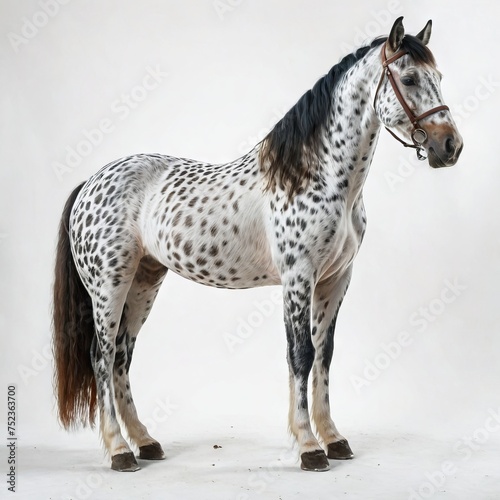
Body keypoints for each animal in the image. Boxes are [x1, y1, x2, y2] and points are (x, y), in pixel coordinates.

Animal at [52, 17, 462, 472]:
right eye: (408, 78)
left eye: (438, 77)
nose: (450, 146)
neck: (317, 176)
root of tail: (91, 182)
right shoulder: (298, 278)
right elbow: (300, 355)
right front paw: (308, 447)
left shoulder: (336, 279)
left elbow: (325, 354)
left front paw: (334, 439)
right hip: (108, 285)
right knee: (102, 357)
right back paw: (120, 451)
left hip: (144, 281)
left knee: (123, 356)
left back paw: (145, 442)